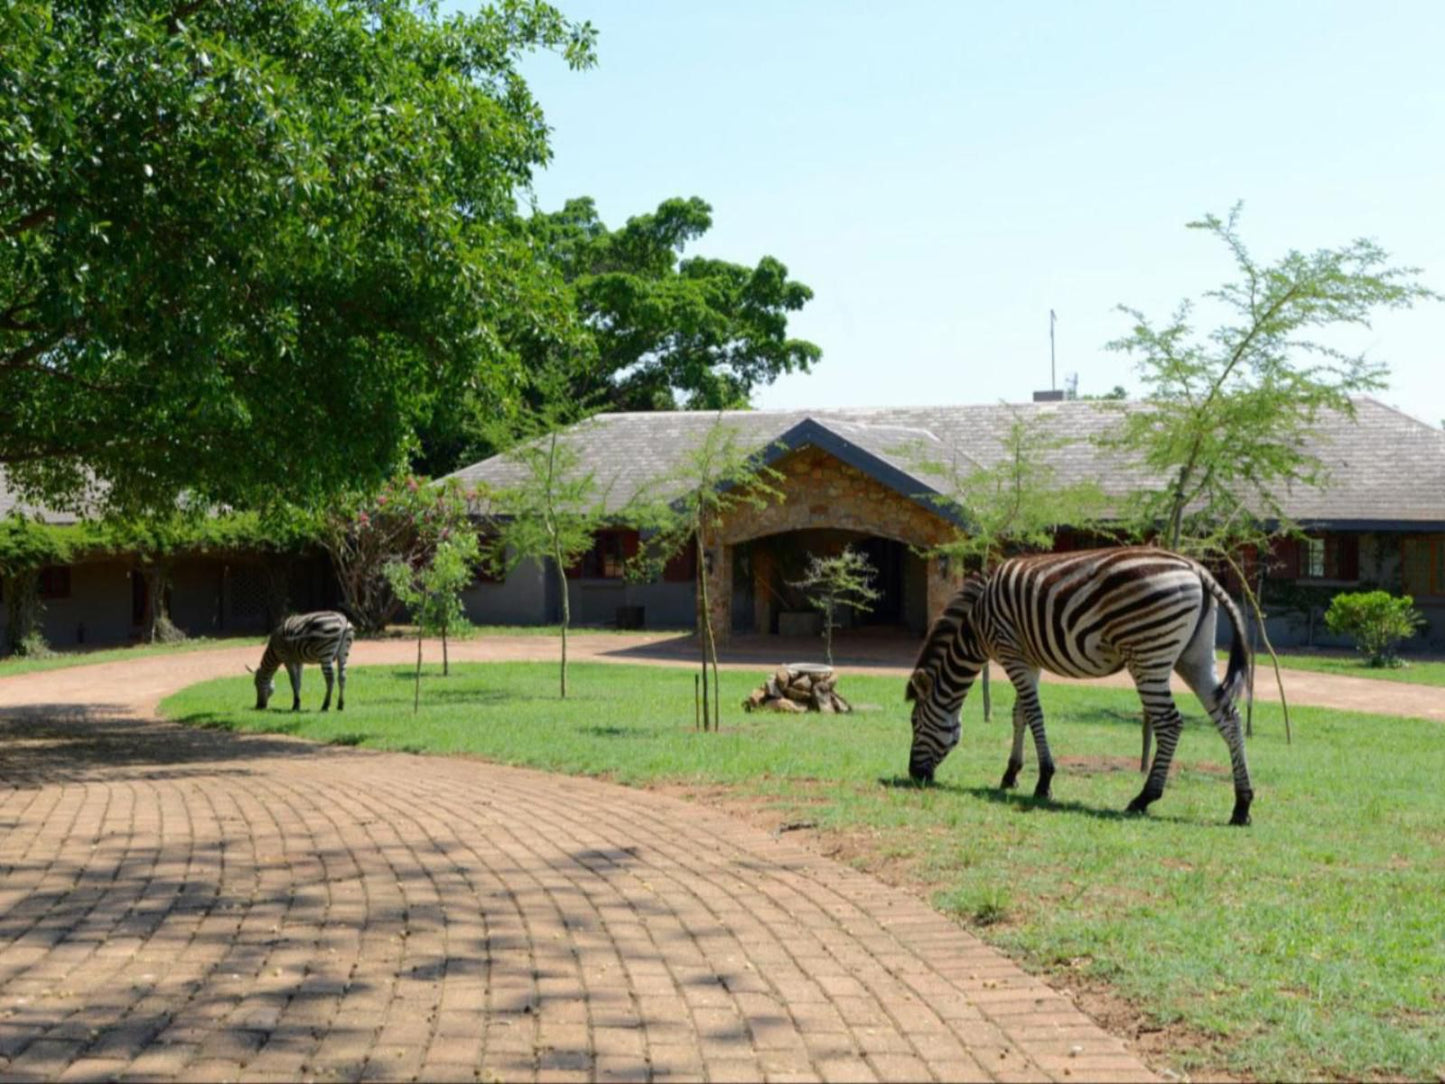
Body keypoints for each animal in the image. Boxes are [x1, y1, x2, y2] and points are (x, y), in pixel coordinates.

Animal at [907, 546, 1260, 826]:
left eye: (915, 723)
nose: (913, 774)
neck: (976, 624)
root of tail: (1196, 569)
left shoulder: (1011, 652)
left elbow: (1034, 715)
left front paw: (1044, 781)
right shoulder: (1028, 659)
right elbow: (1019, 714)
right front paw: (1011, 774)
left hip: (1149, 655)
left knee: (1170, 723)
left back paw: (1144, 798)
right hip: (1193, 657)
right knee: (1229, 718)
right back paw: (1241, 805)